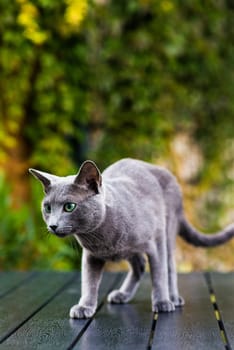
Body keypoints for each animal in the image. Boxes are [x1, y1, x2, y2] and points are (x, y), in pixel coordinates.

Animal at [28, 160, 234, 318]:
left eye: (69, 206)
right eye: (47, 208)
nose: (53, 225)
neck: (102, 237)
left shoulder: (156, 240)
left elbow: (159, 273)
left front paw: (162, 302)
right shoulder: (91, 256)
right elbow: (88, 282)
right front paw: (85, 307)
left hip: (169, 229)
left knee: (169, 266)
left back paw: (173, 298)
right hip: (130, 250)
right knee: (139, 265)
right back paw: (122, 294)